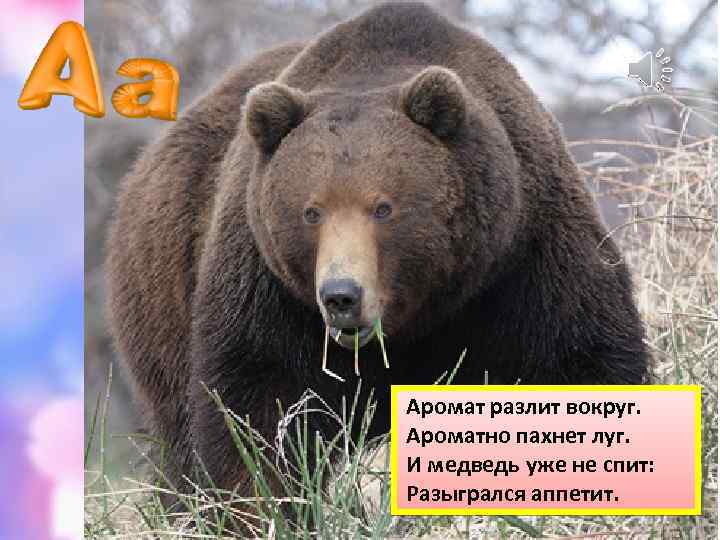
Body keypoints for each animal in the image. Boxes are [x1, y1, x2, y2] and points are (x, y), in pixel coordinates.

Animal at [106, 1, 648, 504]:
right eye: (311, 211)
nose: (341, 296)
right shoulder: (268, 291)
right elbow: (256, 411)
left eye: (383, 207)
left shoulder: (523, 260)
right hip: (163, 295)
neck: (416, 319)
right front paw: (260, 504)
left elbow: (577, 361)